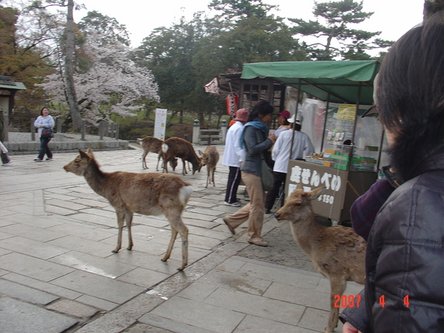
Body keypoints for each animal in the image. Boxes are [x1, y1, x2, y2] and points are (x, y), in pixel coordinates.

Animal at [62, 148, 193, 270]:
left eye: (77, 160)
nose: (64, 167)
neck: (106, 188)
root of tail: (186, 188)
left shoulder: (118, 204)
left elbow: (120, 225)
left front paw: (116, 248)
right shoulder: (129, 207)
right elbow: (129, 224)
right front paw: (130, 246)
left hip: (171, 208)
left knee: (184, 230)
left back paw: (183, 265)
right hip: (173, 211)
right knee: (174, 230)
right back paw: (165, 257)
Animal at [276, 187, 366, 332]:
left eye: (298, 203)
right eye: (286, 198)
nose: (277, 214)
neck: (315, 246)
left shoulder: (337, 272)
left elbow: (333, 301)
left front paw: (328, 328)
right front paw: (334, 325)